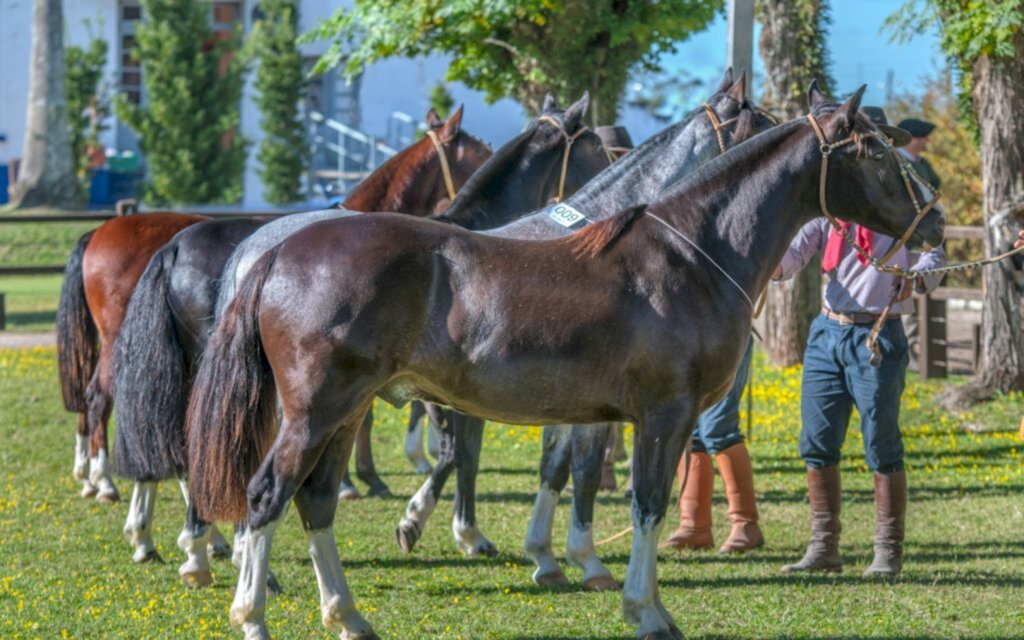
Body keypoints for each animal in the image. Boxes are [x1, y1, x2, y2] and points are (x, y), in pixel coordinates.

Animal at [186, 84, 942, 638]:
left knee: (313, 500)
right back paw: (252, 615)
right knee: (266, 494)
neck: (690, 254)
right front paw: (645, 610)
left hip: (344, 413)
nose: (933, 220)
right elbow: (644, 503)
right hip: (315, 412)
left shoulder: (609, 417)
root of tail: (276, 252)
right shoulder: (663, 416)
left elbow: (579, 482)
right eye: (876, 152)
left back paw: (347, 617)